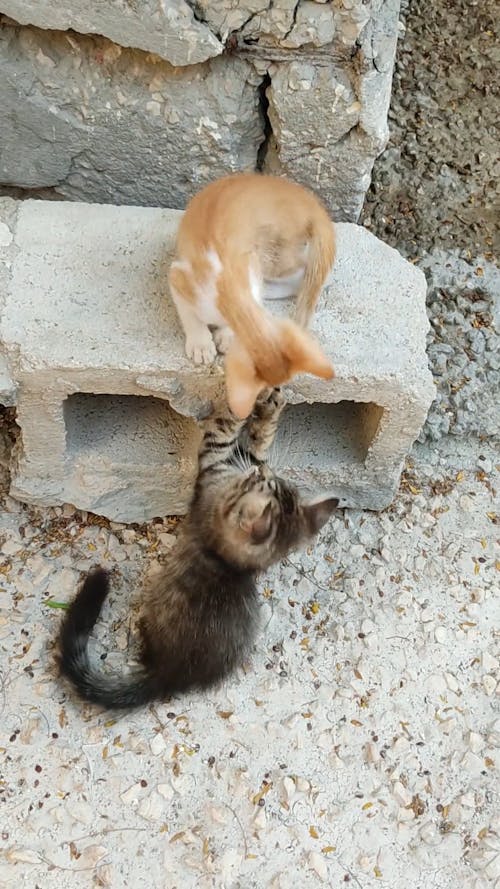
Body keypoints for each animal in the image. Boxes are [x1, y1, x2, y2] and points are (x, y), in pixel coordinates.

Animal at [59, 388, 340, 708]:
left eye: (260, 481)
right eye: (270, 481)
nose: (261, 471)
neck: (228, 560)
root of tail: (166, 676)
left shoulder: (214, 461)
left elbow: (228, 430)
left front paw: (252, 404)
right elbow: (254, 443)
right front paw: (267, 404)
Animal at [168, 178, 336, 424]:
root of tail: (311, 202)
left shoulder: (250, 267)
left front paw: (226, 335)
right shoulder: (178, 275)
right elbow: (189, 314)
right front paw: (200, 344)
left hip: (276, 252)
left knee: (299, 278)